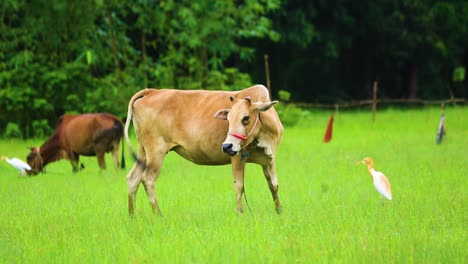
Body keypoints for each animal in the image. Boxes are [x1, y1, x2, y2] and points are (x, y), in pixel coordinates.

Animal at [124, 85, 284, 217]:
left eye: (246, 118)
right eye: (228, 119)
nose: (226, 146)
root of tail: (152, 91)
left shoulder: (269, 158)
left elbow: (274, 185)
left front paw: (279, 211)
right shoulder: (237, 157)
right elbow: (239, 186)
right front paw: (240, 214)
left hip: (143, 151)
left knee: (133, 178)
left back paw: (132, 217)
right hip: (156, 151)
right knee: (148, 178)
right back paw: (159, 216)